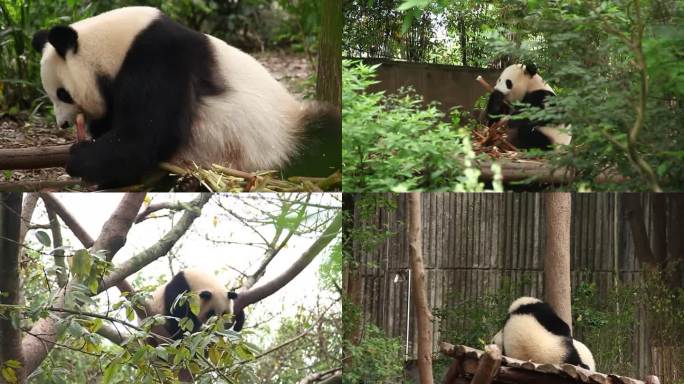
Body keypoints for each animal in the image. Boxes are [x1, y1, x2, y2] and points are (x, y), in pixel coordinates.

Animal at [33, 5, 338, 186]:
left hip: (281, 135)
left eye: (63, 94)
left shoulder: (158, 58)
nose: (63, 124)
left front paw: (79, 157)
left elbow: (146, 135)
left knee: (324, 137)